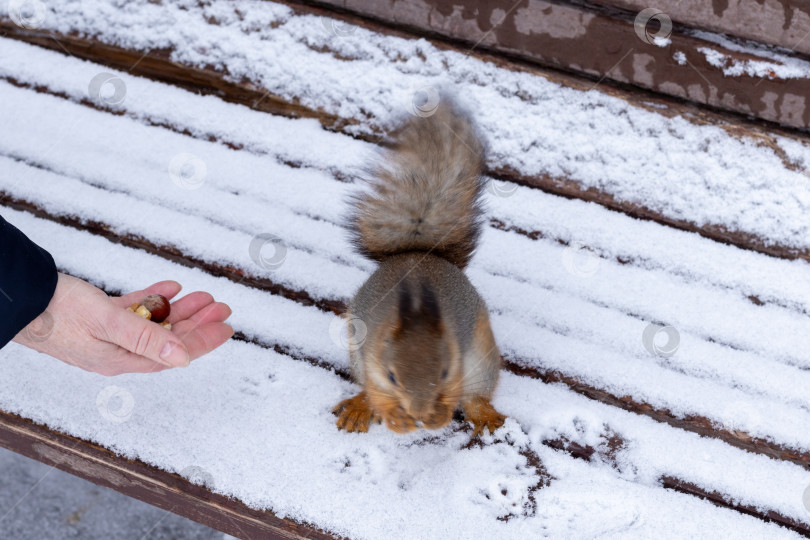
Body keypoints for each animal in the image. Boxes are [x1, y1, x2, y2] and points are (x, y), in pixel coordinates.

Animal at [332, 94, 502, 434]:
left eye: (445, 372)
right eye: (393, 375)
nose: (420, 412)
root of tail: (420, 253)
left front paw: (439, 416)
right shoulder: (371, 358)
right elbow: (377, 391)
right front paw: (396, 419)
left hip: (482, 358)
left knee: (477, 395)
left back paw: (484, 413)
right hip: (356, 352)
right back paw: (360, 407)